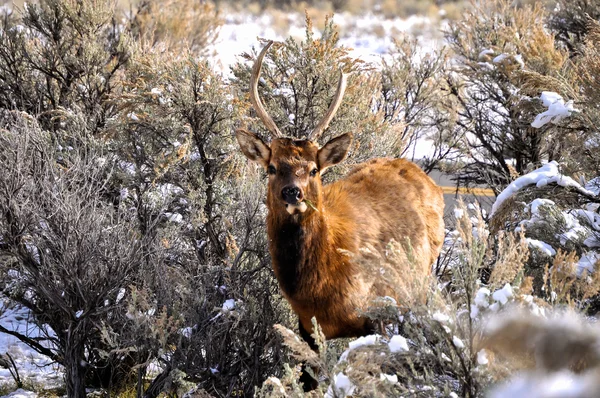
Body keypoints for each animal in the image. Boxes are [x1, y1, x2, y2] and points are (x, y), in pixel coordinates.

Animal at [237, 41, 442, 388]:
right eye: (272, 167)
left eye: (314, 169)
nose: (293, 193)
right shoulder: (306, 328)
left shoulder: (379, 310)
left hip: (421, 282)